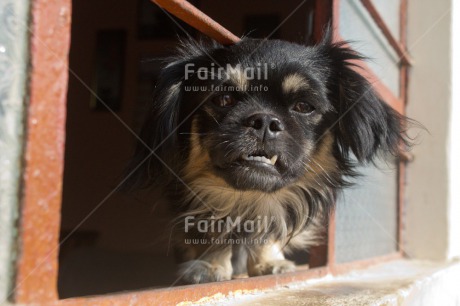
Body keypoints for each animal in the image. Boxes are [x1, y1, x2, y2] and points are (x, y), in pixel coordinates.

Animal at [124, 30, 412, 284]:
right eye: (224, 99)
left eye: (303, 106)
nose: (264, 120)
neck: (248, 200)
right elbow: (213, 230)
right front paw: (209, 266)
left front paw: (269, 262)